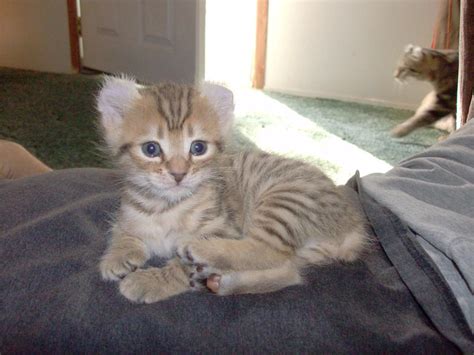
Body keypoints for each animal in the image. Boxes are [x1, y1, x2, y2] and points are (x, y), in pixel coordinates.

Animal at [98, 76, 368, 304]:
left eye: (198, 148)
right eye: (151, 149)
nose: (178, 174)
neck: (166, 207)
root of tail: (351, 221)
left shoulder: (225, 227)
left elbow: (182, 267)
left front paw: (151, 281)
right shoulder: (128, 212)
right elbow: (123, 230)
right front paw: (118, 254)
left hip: (286, 199)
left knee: (267, 250)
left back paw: (200, 249)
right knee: (289, 271)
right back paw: (222, 284)